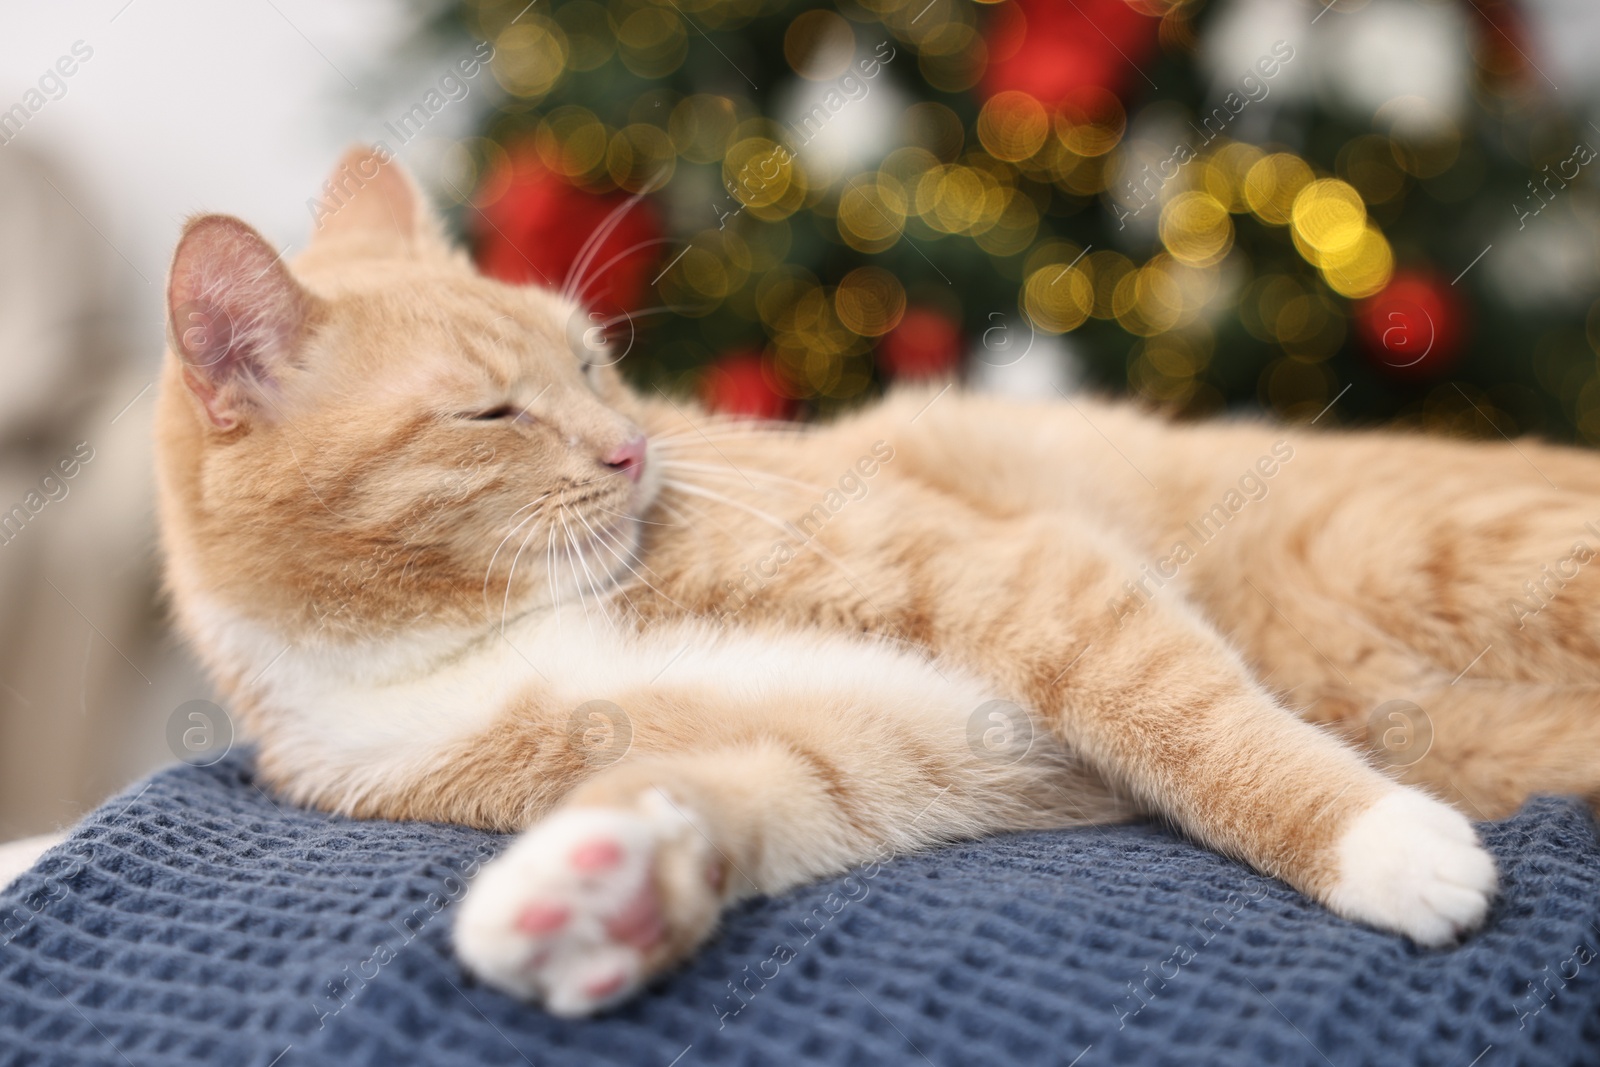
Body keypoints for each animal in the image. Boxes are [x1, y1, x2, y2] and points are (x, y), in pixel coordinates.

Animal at [152, 150, 1600, 1017]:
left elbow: (1197, 725)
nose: (632, 450)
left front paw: (1382, 842)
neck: (477, 632)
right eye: (491, 412)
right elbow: (732, 792)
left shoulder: (1023, 577)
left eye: (592, 365)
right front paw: (596, 891)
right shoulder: (884, 745)